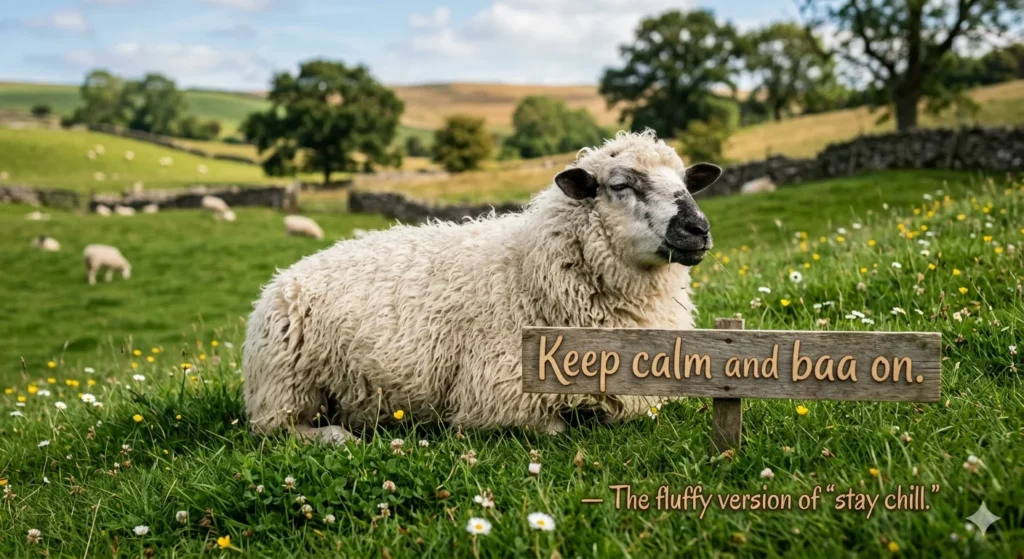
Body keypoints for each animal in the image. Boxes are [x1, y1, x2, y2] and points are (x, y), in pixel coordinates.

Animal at [243, 130, 722, 444]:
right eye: (621, 184)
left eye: (686, 183)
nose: (698, 229)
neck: (529, 269)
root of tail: (283, 277)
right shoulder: (495, 394)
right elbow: (553, 427)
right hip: (286, 385)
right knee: (277, 429)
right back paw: (337, 436)